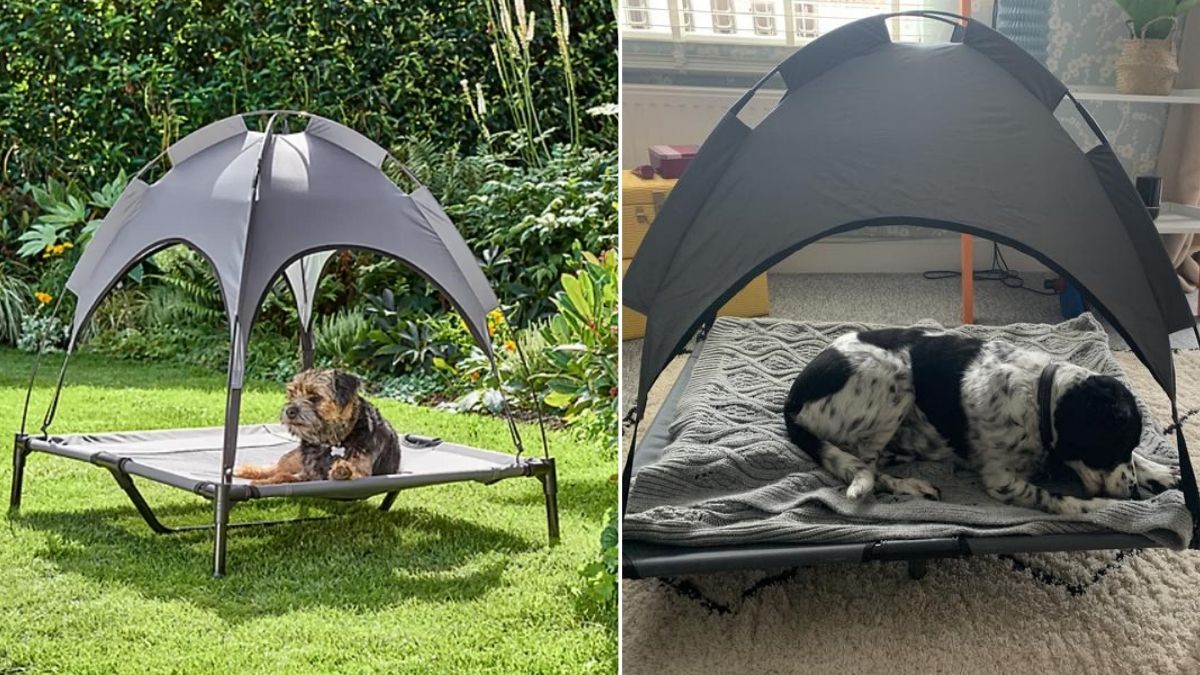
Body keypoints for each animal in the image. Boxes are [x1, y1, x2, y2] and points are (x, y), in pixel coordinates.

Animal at [234, 367, 403, 482]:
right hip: (294, 458)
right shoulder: (306, 472)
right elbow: (283, 476)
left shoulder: (362, 470)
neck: (335, 438)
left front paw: (342, 469)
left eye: (315, 397)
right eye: (292, 395)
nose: (289, 411)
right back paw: (247, 470)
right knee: (275, 468)